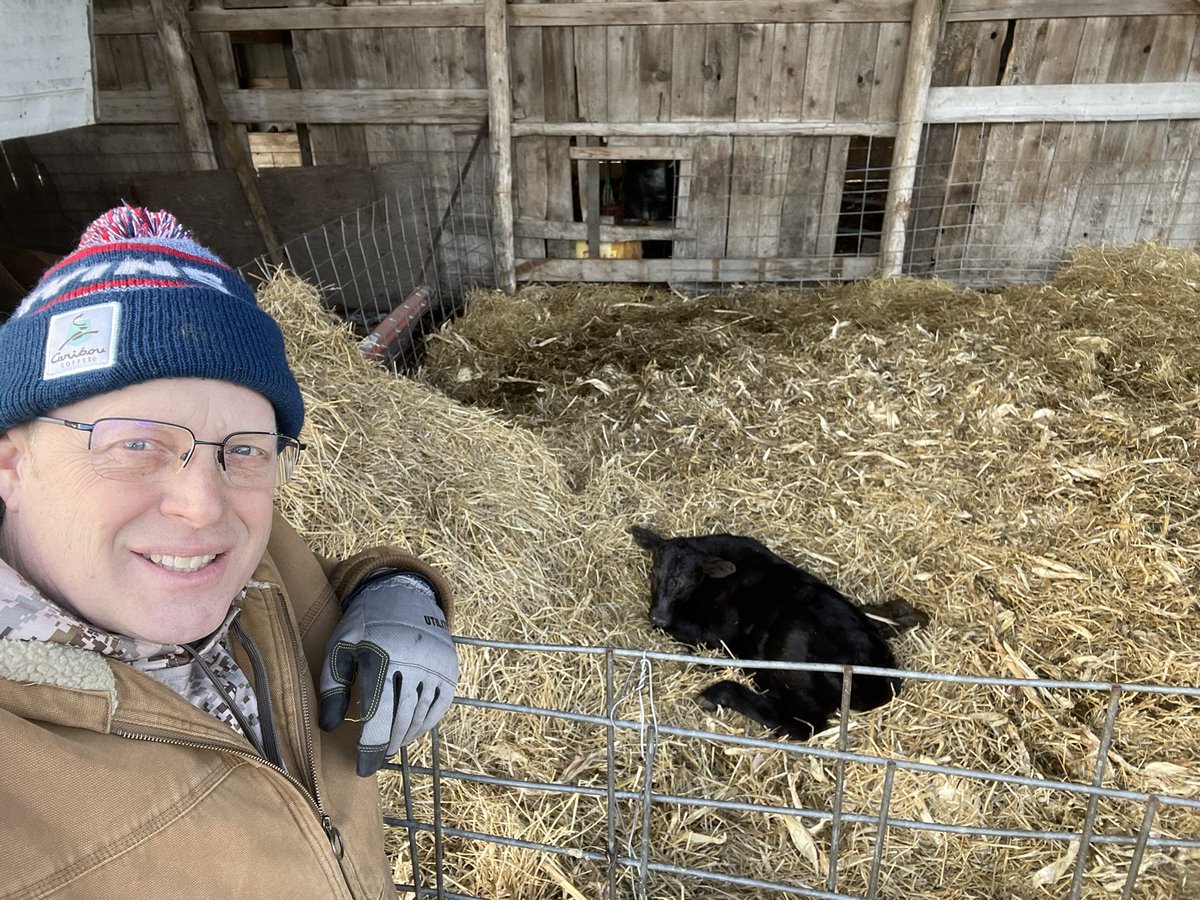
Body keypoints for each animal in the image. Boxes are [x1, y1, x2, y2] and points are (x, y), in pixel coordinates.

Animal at [629, 525, 927, 739]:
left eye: (688, 583)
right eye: (654, 571)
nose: (658, 615)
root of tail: (883, 682)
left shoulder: (717, 631)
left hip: (792, 640)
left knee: (805, 724)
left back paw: (718, 692)